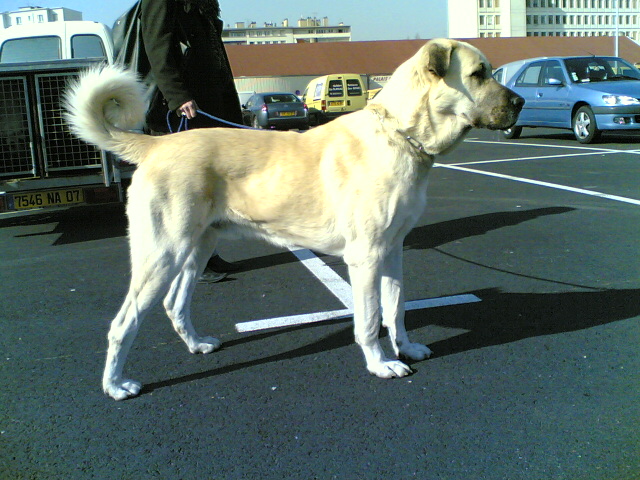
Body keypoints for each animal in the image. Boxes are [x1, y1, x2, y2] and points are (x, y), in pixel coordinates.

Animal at [65, 38, 524, 402]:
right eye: (479, 74)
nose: (520, 103)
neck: (399, 136)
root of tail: (157, 146)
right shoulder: (366, 257)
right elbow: (370, 318)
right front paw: (380, 364)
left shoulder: (393, 251)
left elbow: (396, 310)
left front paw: (406, 349)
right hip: (162, 252)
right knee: (123, 323)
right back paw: (116, 385)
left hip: (198, 247)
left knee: (174, 304)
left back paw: (197, 344)